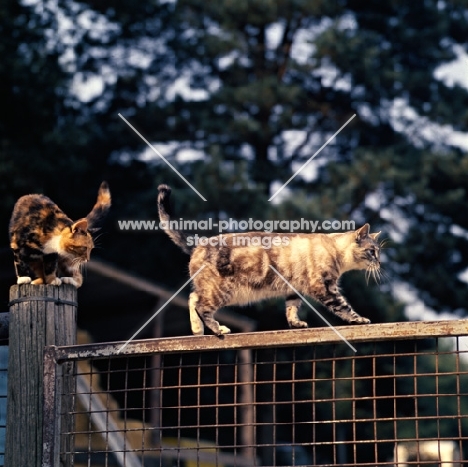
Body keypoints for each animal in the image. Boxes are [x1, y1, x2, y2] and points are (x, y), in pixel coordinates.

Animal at [157, 186, 380, 336]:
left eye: (378, 252)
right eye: (372, 251)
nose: (379, 263)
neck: (335, 249)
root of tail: (199, 244)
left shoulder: (294, 289)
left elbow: (291, 309)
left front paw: (296, 324)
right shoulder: (326, 288)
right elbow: (344, 307)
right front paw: (360, 319)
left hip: (211, 289)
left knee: (193, 297)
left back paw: (197, 329)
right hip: (221, 291)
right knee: (202, 307)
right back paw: (219, 329)